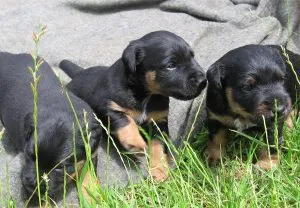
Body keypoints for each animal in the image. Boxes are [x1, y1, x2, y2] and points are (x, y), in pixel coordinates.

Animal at [0, 52, 102, 200]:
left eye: (60, 168)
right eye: (30, 155)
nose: (32, 185)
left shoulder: (91, 152)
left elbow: (90, 175)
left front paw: (93, 196)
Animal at [59, 30, 207, 180]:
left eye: (192, 57)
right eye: (170, 65)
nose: (203, 81)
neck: (146, 94)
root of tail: (79, 73)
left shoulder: (158, 120)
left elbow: (158, 145)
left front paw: (159, 170)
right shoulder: (107, 106)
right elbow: (125, 121)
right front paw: (135, 143)